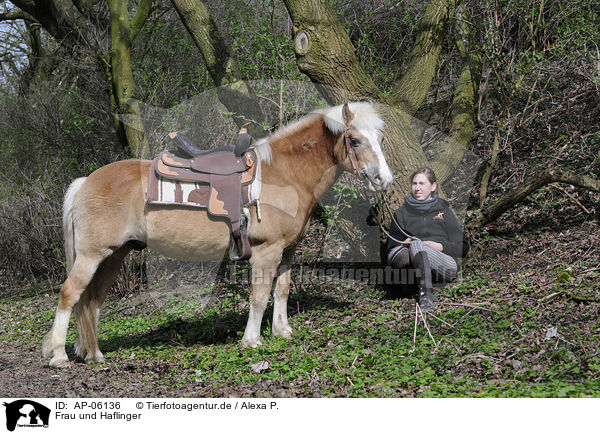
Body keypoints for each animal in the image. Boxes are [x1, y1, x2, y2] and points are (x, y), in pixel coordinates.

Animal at [41, 101, 390, 366]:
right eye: (355, 141)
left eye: (381, 138)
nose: (384, 179)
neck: (285, 175)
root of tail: (86, 181)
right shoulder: (266, 251)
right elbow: (259, 295)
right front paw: (252, 340)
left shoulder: (287, 251)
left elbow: (281, 291)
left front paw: (282, 331)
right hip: (92, 255)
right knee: (70, 294)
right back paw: (58, 355)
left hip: (114, 256)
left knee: (92, 300)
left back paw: (94, 353)